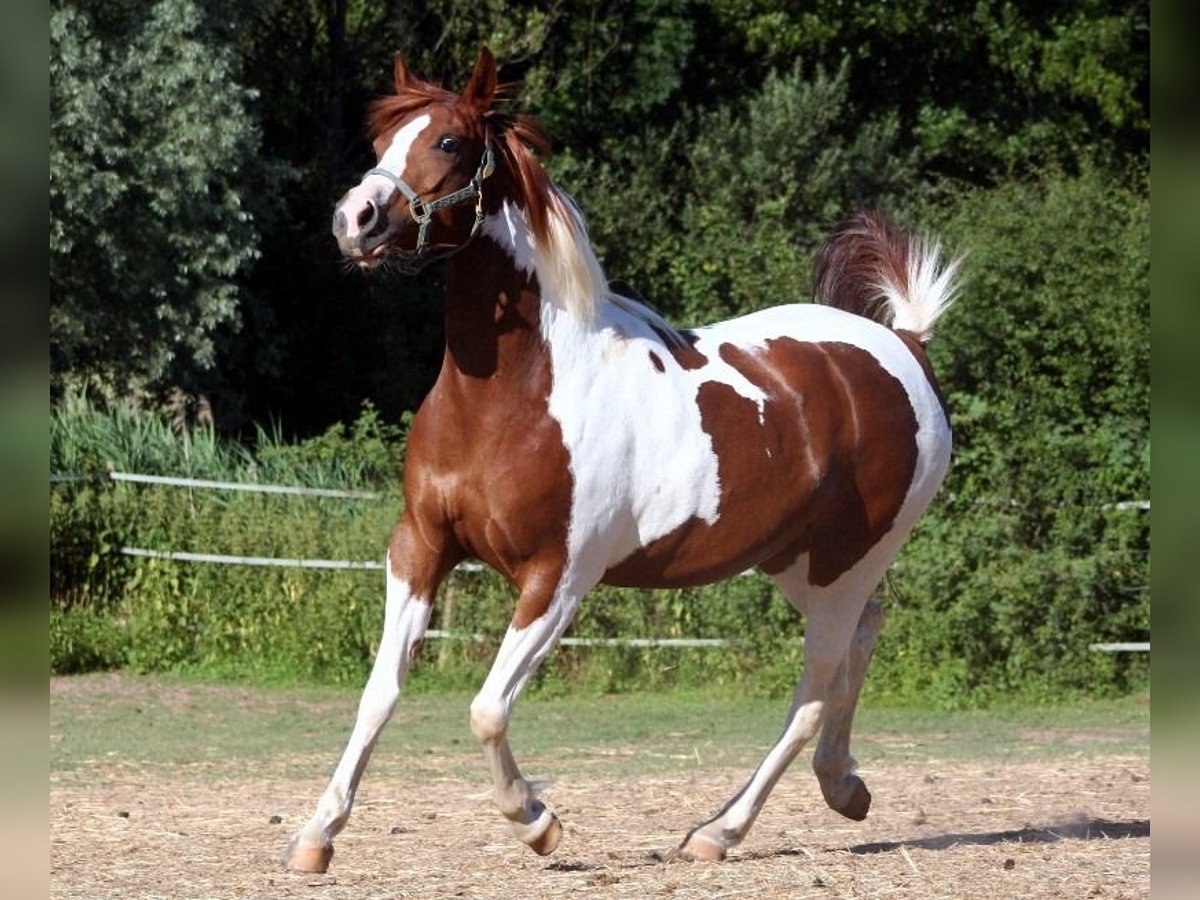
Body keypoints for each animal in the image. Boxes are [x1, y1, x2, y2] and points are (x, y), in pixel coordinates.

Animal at [285, 47, 960, 873]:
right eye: (384, 139)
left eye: (448, 142)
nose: (356, 219)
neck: (511, 398)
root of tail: (906, 348)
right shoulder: (419, 547)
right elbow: (380, 693)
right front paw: (316, 836)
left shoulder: (559, 578)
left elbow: (486, 710)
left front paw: (538, 822)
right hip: (799, 564)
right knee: (863, 639)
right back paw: (843, 788)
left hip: (842, 566)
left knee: (813, 691)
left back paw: (718, 832)